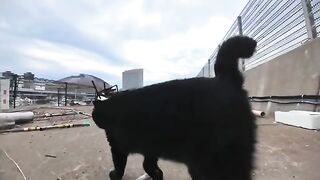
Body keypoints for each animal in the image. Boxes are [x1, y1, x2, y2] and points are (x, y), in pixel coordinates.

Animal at [92, 35, 258, 180]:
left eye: (94, 114)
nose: (94, 119)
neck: (113, 107)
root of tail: (226, 79)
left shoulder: (118, 146)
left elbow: (120, 166)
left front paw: (113, 175)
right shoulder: (150, 148)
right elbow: (149, 166)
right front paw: (157, 175)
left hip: (216, 160)